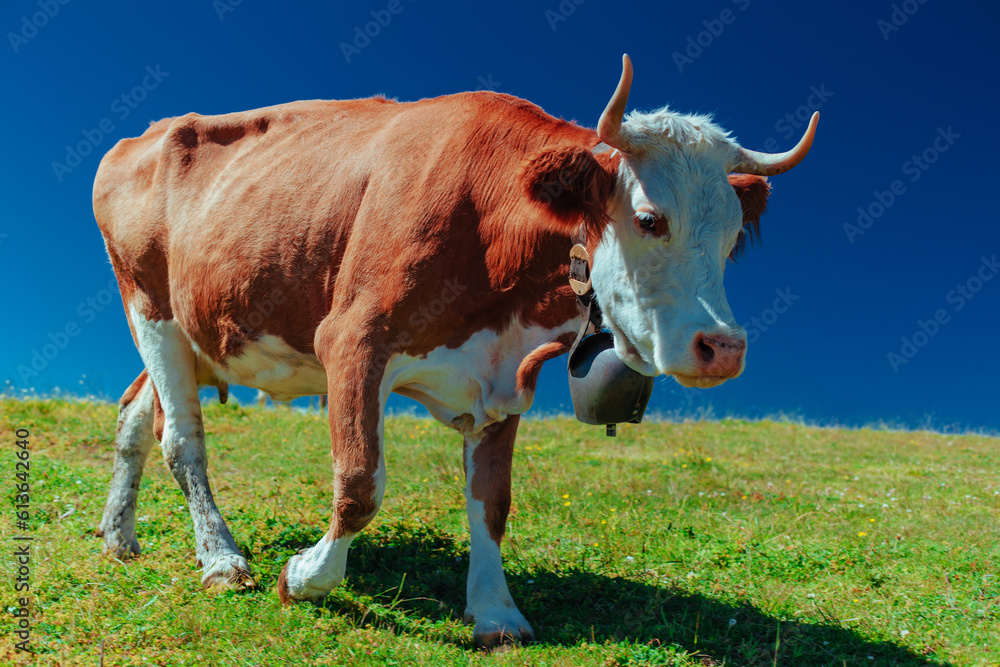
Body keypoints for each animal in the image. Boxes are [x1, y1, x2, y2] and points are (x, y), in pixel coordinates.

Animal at [92, 54, 812, 648]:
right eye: (649, 219)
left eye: (731, 239)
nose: (722, 347)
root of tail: (146, 133)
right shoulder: (352, 338)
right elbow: (360, 483)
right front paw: (303, 576)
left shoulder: (505, 372)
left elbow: (492, 501)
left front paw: (495, 611)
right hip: (149, 304)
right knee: (181, 437)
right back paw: (220, 557)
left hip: (190, 329)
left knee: (135, 413)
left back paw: (119, 536)